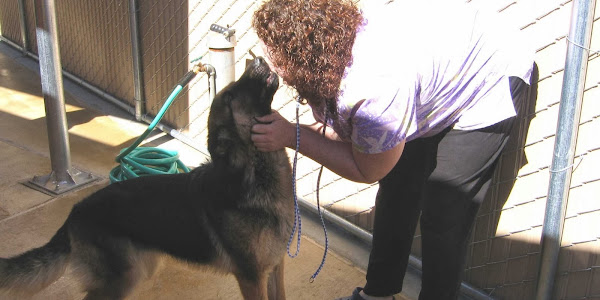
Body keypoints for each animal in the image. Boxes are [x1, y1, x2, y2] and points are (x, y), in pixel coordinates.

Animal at [0, 56, 292, 300]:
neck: (254, 172)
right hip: (121, 279)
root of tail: (74, 212)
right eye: (231, 95)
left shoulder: (275, 268)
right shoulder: (251, 277)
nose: (257, 59)